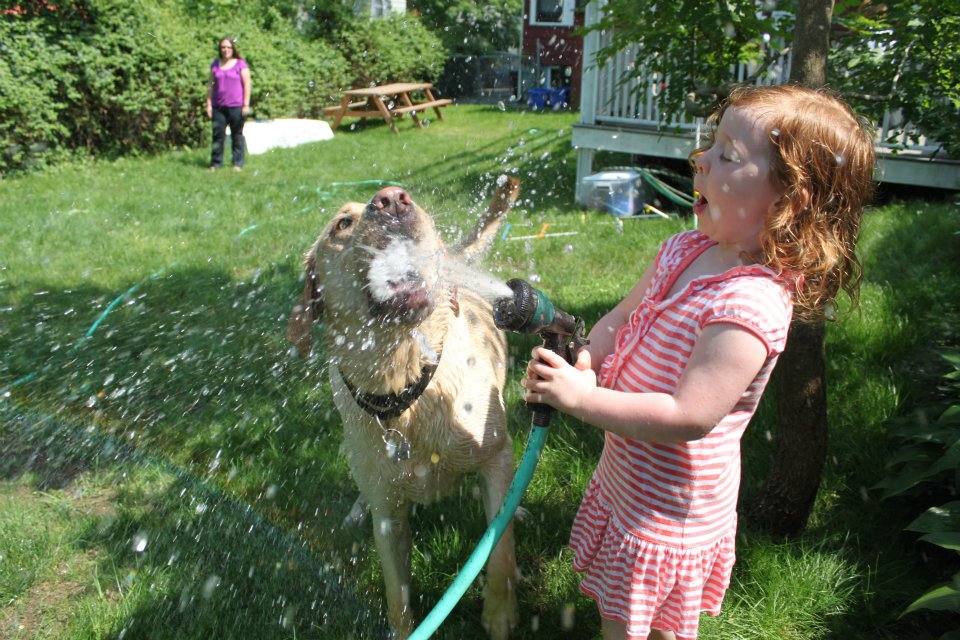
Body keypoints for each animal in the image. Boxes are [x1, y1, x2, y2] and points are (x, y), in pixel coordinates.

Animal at [286, 178, 520, 636]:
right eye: (342, 224)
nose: (392, 199)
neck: (405, 388)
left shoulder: (497, 458)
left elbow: (499, 547)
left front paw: (501, 613)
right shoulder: (389, 516)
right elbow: (397, 596)